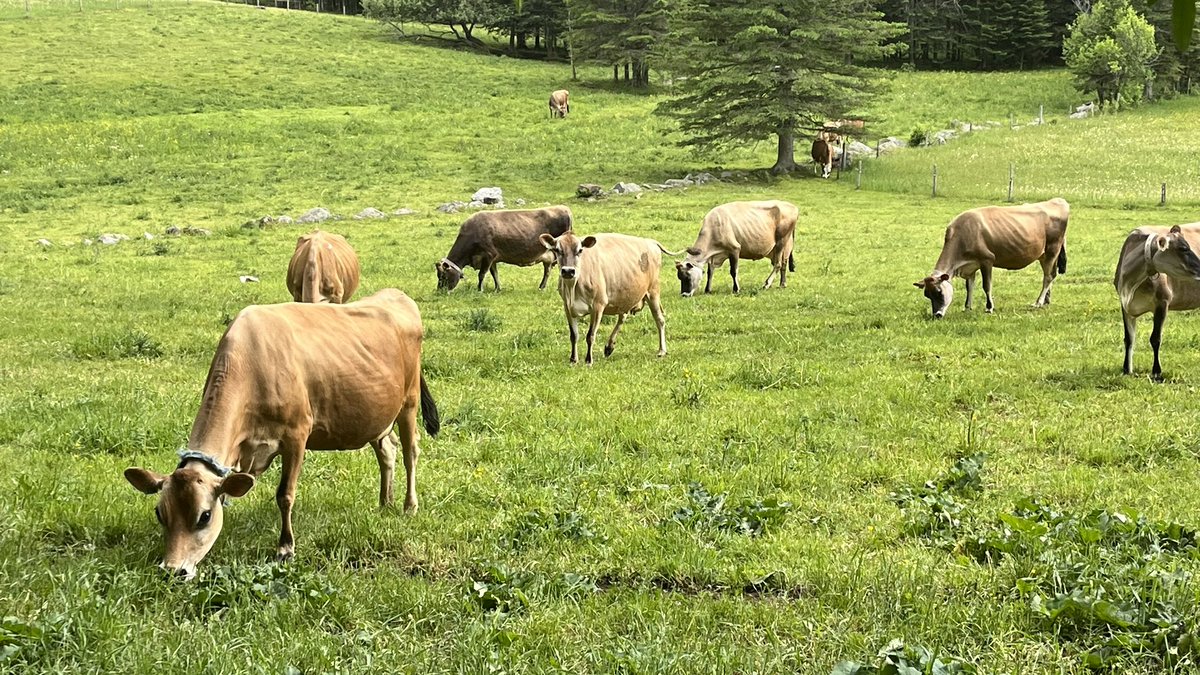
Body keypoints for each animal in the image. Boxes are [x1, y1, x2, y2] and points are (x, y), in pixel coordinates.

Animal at [122, 289, 439, 579]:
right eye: (160, 513)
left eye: (204, 516)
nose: (173, 571)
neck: (251, 365)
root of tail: (396, 295)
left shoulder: (297, 435)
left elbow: (285, 494)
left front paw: (285, 548)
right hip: (377, 413)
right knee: (387, 451)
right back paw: (385, 502)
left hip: (409, 401)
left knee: (410, 451)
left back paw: (409, 505)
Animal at [436, 206, 574, 292]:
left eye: (443, 276)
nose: (439, 291)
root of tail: (564, 208)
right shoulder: (493, 259)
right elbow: (494, 274)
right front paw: (497, 288)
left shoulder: (489, 254)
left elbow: (482, 274)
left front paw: (479, 289)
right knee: (547, 270)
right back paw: (542, 287)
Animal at [540, 232, 672, 365]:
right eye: (557, 250)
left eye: (580, 250)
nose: (568, 271)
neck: (573, 289)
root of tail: (650, 241)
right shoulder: (567, 307)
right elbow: (574, 335)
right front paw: (573, 359)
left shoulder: (598, 305)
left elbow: (590, 335)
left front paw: (588, 360)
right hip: (624, 296)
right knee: (622, 317)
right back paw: (609, 347)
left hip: (653, 291)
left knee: (659, 319)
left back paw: (662, 350)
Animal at [914, 198, 1070, 319]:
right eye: (927, 295)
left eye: (939, 292)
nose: (937, 315)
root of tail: (1058, 200)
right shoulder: (970, 266)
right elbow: (969, 287)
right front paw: (967, 307)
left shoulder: (987, 260)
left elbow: (986, 285)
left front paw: (989, 307)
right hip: (1044, 255)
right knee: (1051, 274)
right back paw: (1047, 300)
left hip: (1052, 250)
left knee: (1048, 277)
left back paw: (1038, 302)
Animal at [1115, 224, 1200, 380]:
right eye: (1183, 248)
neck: (1130, 286)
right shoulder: (1124, 304)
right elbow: (1129, 338)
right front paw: (1126, 369)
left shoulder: (1163, 301)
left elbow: (1155, 338)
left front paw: (1156, 372)